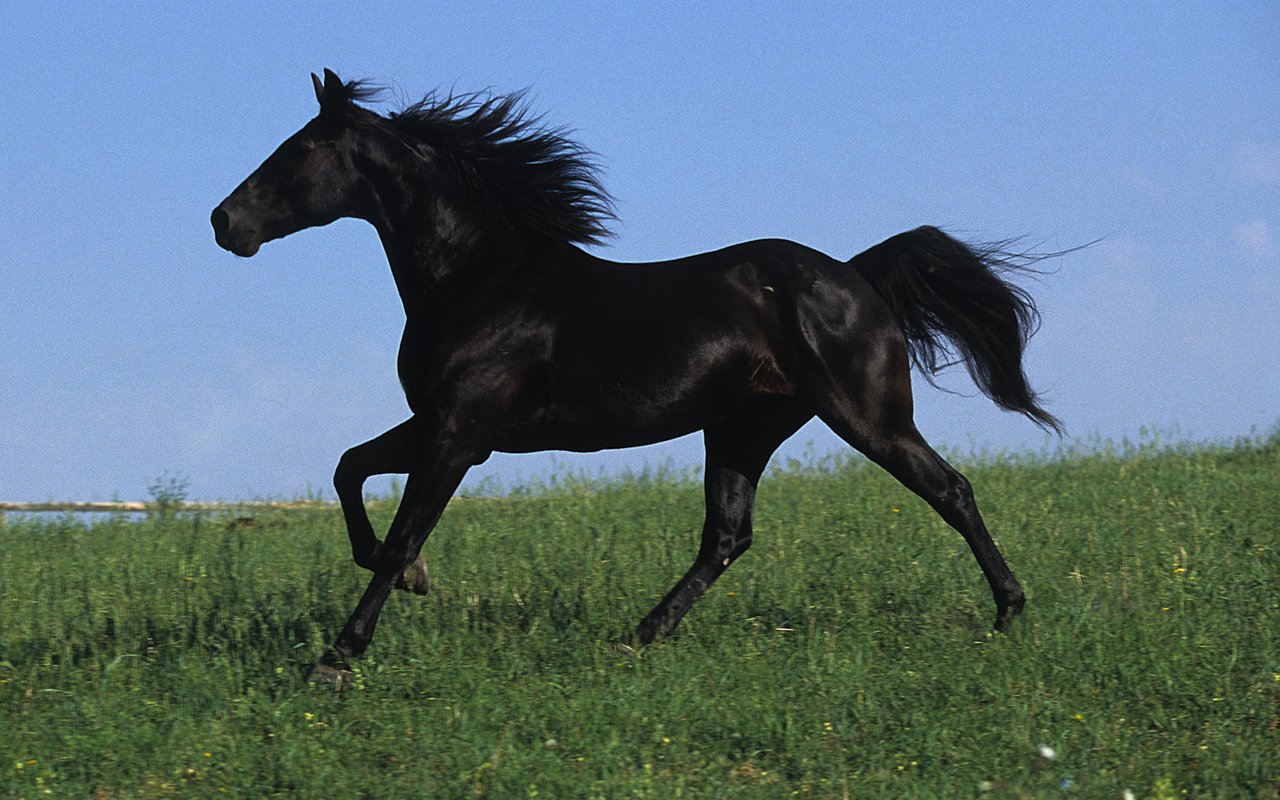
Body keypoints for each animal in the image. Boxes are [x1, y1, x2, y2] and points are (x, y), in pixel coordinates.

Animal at [212, 70, 1059, 680]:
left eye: (300, 151)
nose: (225, 222)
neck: (477, 277)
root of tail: (858, 275)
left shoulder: (458, 434)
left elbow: (397, 532)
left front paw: (339, 655)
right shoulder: (443, 426)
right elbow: (349, 469)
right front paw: (416, 581)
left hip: (868, 417)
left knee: (950, 491)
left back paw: (1011, 612)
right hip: (743, 429)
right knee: (726, 537)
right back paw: (640, 636)